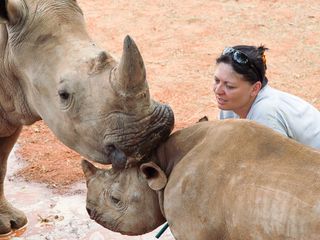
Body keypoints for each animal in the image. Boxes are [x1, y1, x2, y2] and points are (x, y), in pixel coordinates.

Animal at [0, 0, 174, 236]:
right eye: (63, 95)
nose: (152, 134)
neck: (6, 45)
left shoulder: (12, 107)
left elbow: (1, 163)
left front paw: (12, 224)